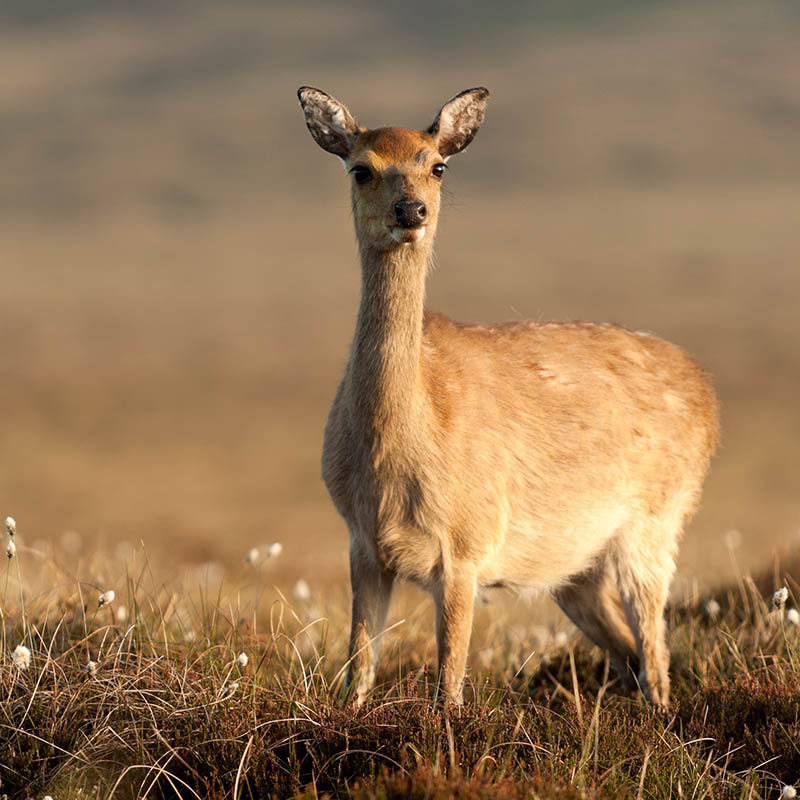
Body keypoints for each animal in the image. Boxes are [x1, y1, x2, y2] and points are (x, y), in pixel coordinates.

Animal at [296, 86, 720, 708]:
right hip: (577, 568)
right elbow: (358, 669)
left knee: (655, 650)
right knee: (629, 653)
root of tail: (708, 391)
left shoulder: (465, 546)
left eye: (437, 165)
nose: (411, 212)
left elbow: (448, 686)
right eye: (361, 168)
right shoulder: (363, 544)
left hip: (656, 524)